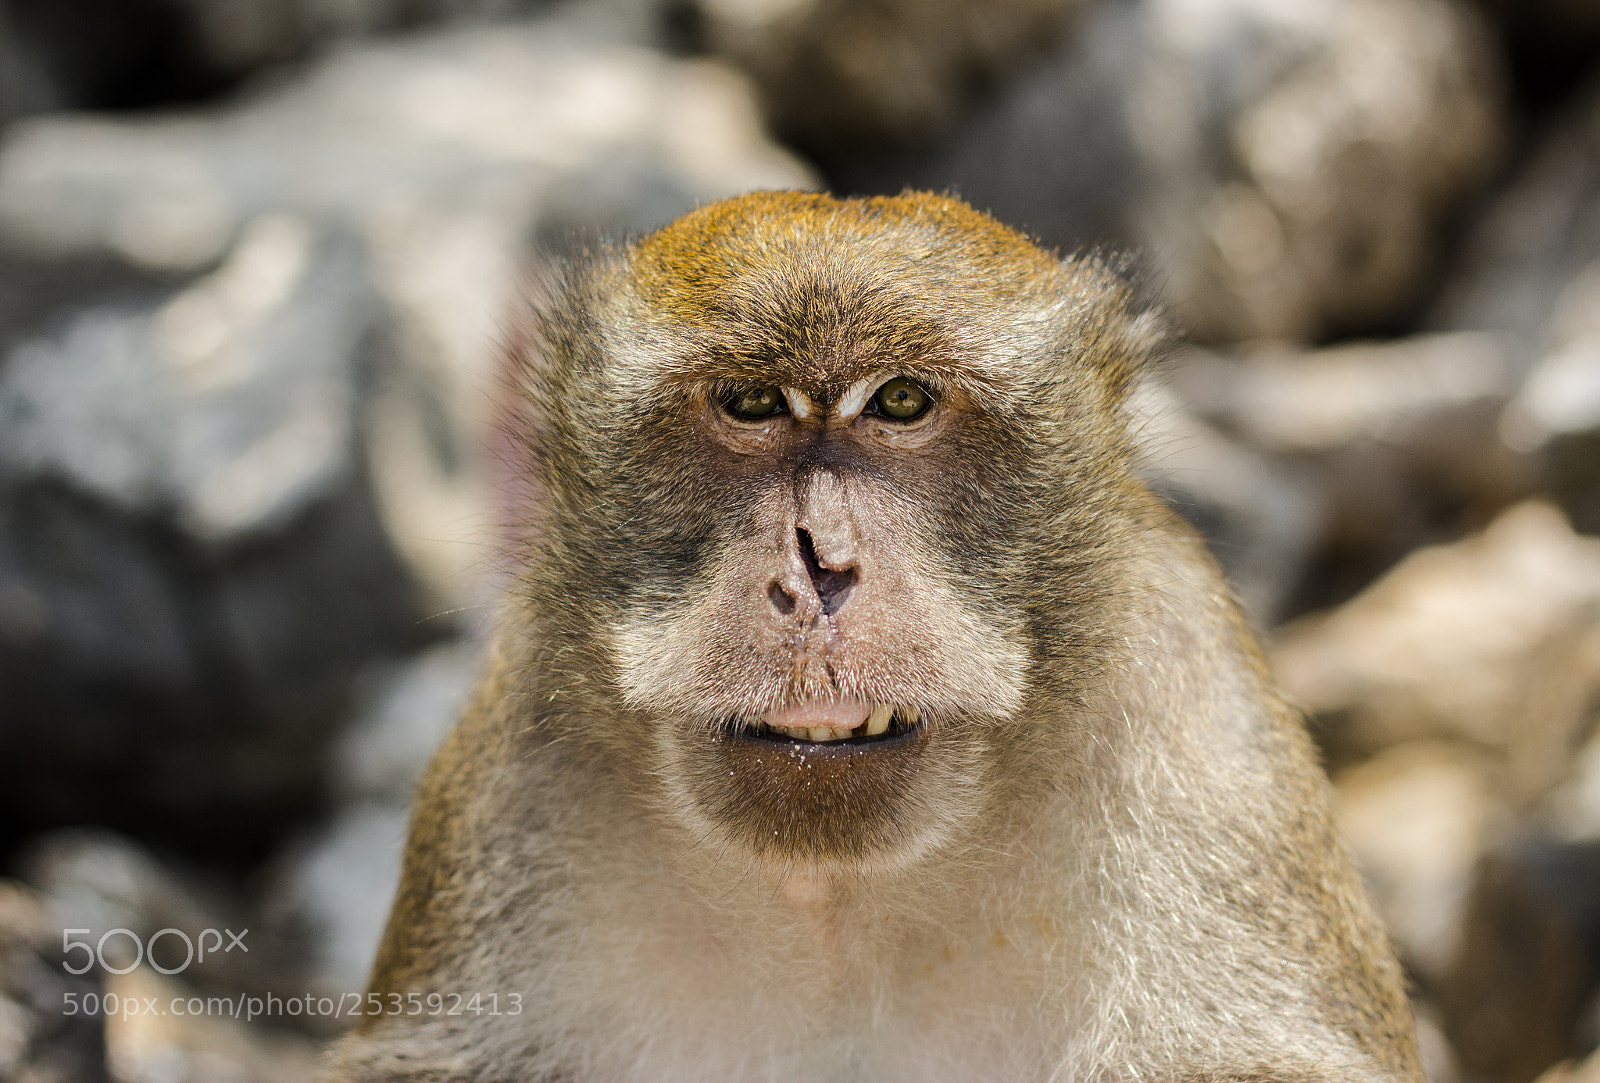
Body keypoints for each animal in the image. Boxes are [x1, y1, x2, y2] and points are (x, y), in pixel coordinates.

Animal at [325, 191, 1422, 1083]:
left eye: (899, 401)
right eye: (752, 402)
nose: (817, 570)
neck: (833, 900)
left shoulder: (1200, 724)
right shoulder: (521, 757)